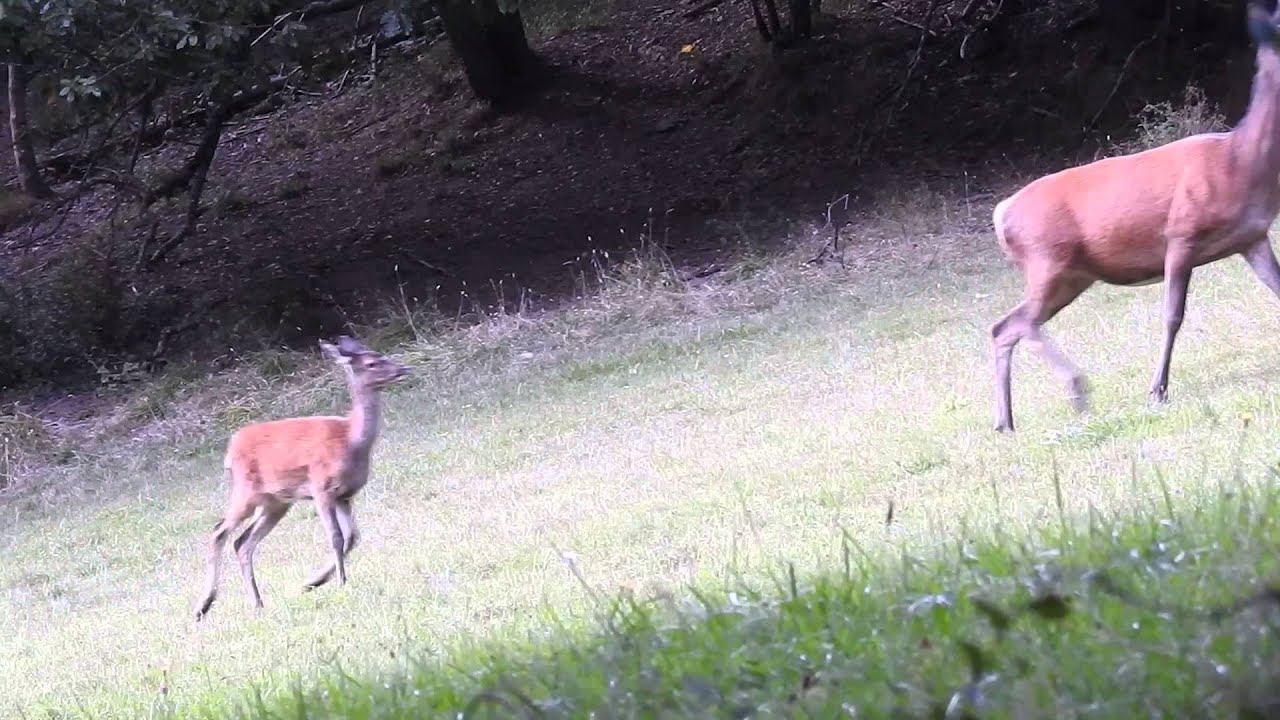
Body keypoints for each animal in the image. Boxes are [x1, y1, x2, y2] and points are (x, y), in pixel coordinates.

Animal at [194, 335, 411, 621]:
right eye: (372, 363)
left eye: (381, 355)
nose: (403, 369)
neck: (351, 440)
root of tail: (230, 450)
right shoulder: (321, 488)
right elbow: (336, 537)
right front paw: (341, 582)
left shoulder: (345, 495)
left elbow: (352, 537)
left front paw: (312, 582)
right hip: (245, 491)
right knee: (218, 532)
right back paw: (203, 605)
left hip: (276, 503)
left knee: (242, 542)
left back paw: (257, 602)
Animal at [989, 1, 1280, 433]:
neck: (1240, 162)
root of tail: (1001, 213)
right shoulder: (1181, 234)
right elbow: (1172, 315)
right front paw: (1157, 390)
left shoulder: (1252, 236)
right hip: (1048, 260)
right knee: (1017, 323)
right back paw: (1076, 389)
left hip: (1072, 275)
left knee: (1005, 328)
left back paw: (1006, 421)